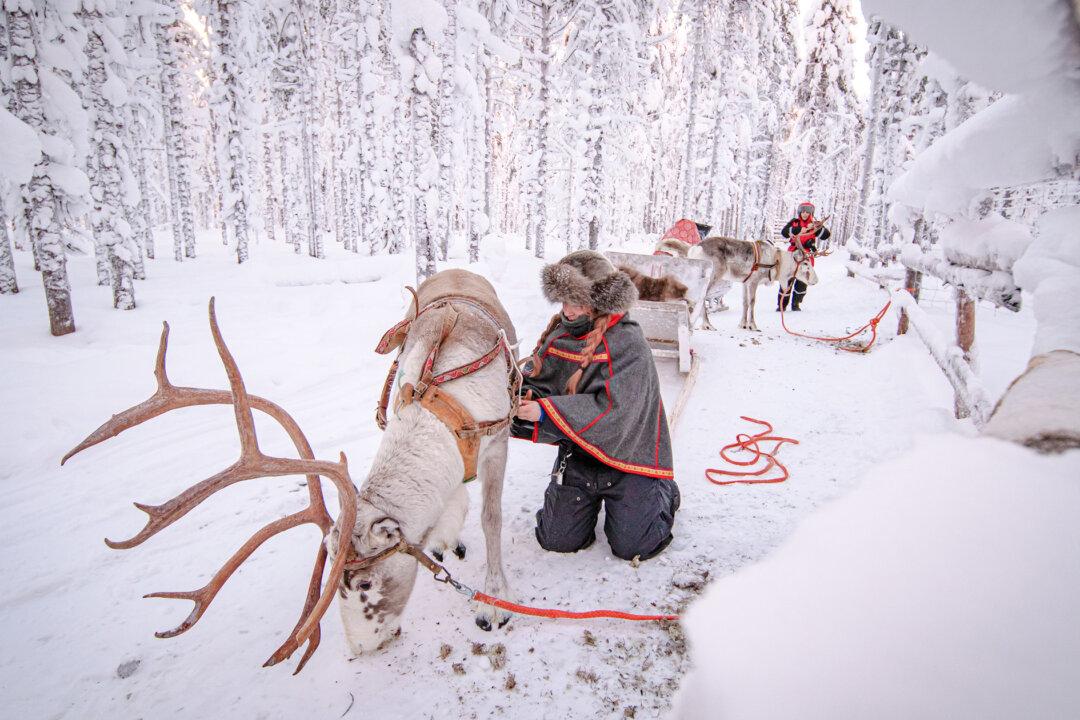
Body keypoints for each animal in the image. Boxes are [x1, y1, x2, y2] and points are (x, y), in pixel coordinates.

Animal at [62, 269, 520, 674]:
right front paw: (444, 536)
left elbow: (491, 518)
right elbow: (455, 502)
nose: (360, 649)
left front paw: (493, 600)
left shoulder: (497, 441)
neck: (443, 409)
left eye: (365, 585)